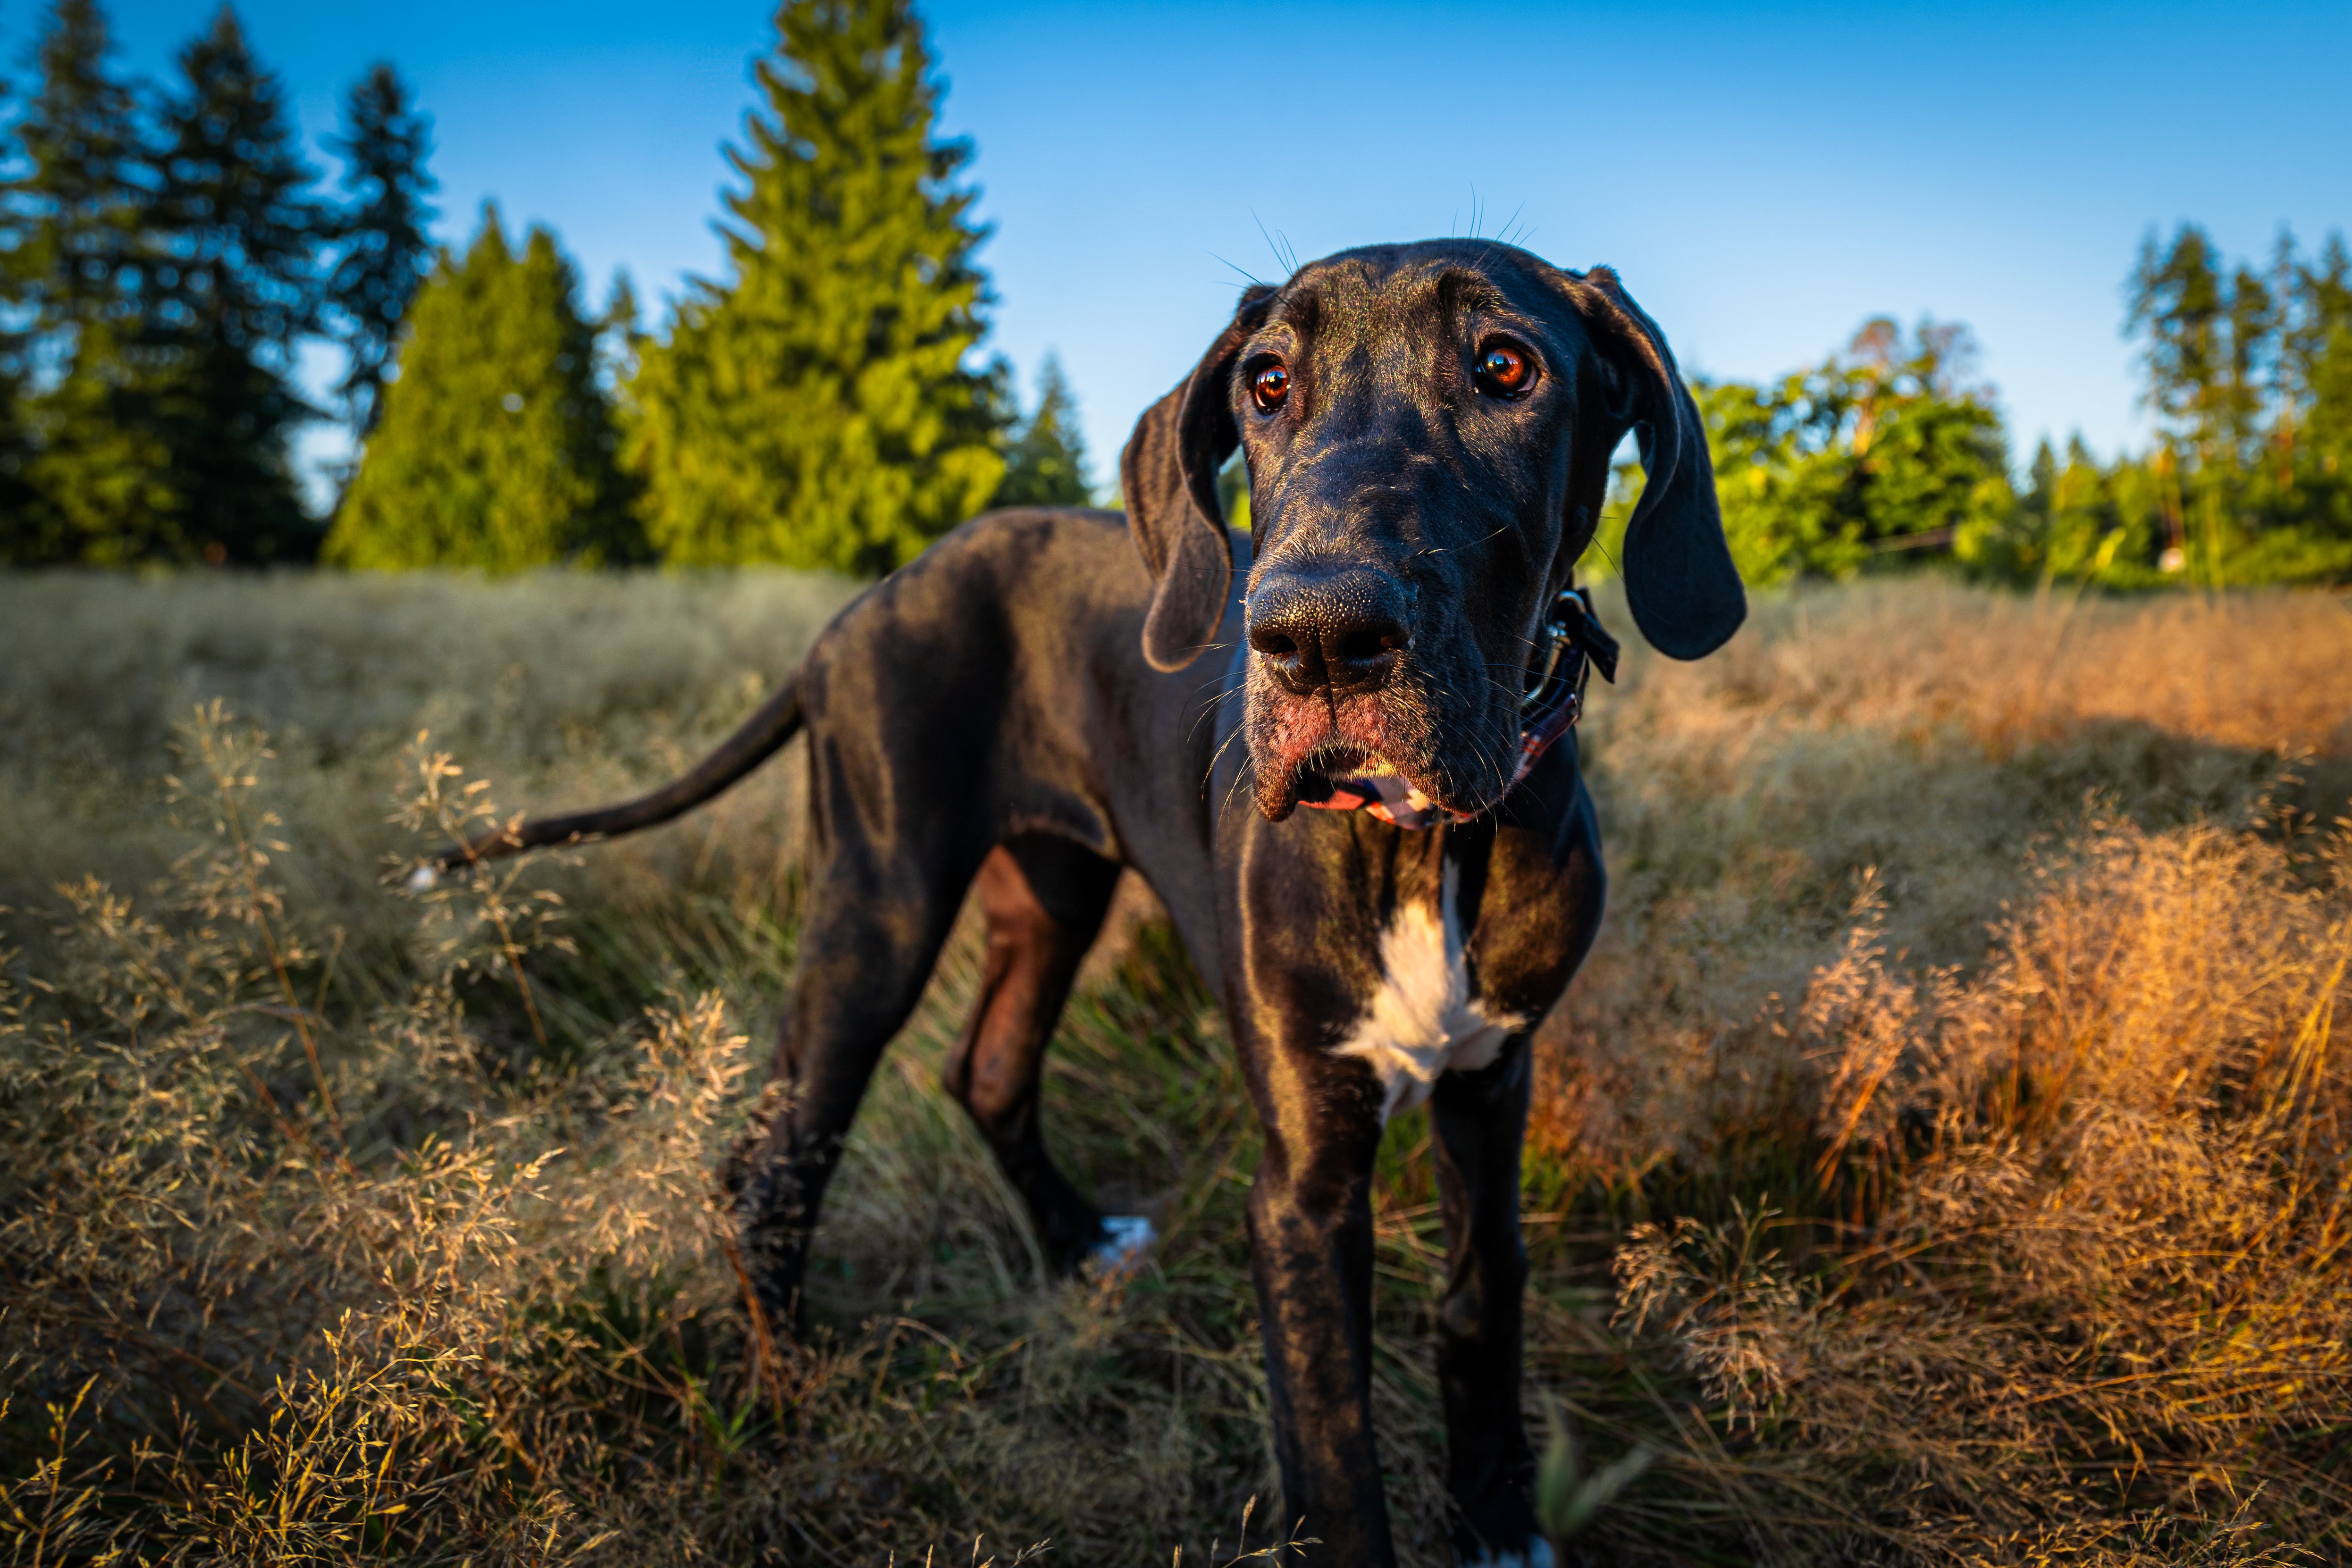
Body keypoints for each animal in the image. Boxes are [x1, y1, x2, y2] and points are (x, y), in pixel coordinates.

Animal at [433, 240, 1740, 1561]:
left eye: (1506, 367)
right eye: (1268, 382)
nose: (1317, 637)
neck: (1421, 841)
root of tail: (854, 612)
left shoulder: (1491, 1080)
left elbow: (1482, 1301)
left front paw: (1497, 1515)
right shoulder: (1302, 1183)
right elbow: (1333, 1456)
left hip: (1050, 896)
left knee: (986, 1070)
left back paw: (1071, 1241)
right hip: (878, 906)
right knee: (773, 1164)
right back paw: (790, 1401)